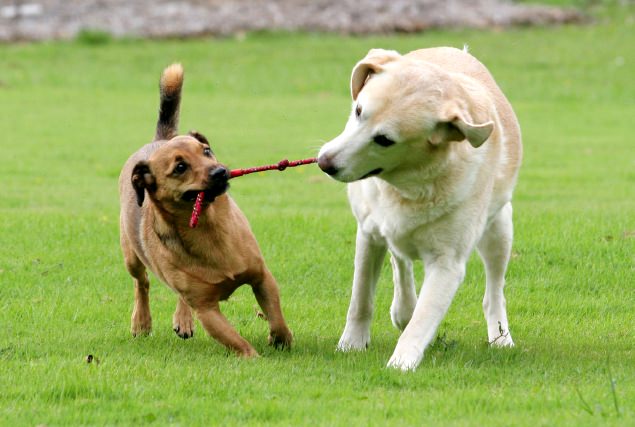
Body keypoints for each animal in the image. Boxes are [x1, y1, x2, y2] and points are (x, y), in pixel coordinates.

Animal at [119, 64, 294, 358]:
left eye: (207, 151)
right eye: (180, 167)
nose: (220, 171)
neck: (208, 227)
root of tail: (160, 139)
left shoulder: (262, 278)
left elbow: (277, 316)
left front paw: (281, 339)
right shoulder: (206, 309)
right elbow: (236, 341)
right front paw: (254, 358)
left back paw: (182, 319)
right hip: (131, 255)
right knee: (141, 283)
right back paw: (142, 321)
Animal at [318, 46, 520, 372]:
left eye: (385, 140)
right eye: (359, 111)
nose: (325, 163)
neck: (409, 185)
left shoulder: (447, 263)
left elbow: (423, 320)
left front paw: (401, 363)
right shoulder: (369, 233)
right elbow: (361, 299)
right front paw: (351, 344)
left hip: (499, 230)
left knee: (494, 292)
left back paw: (500, 336)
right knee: (400, 260)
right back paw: (403, 308)